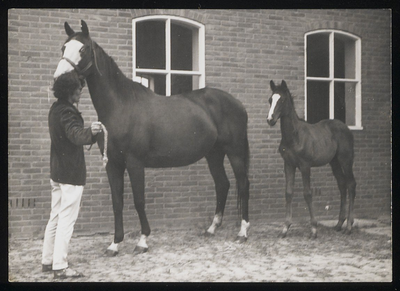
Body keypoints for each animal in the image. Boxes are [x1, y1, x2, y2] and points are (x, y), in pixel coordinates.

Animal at [53, 20, 250, 256]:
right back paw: (212, 228)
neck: (121, 106)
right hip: (214, 154)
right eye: (63, 48)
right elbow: (117, 202)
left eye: (83, 49)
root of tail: (238, 104)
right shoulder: (113, 164)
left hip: (235, 152)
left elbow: (139, 200)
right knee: (222, 184)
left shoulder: (135, 163)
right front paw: (114, 244)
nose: (59, 80)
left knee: (243, 184)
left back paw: (243, 232)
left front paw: (142, 241)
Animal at [268, 80, 354, 240]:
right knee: (342, 184)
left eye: (282, 100)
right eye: (270, 100)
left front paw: (313, 229)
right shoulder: (288, 165)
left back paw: (349, 226)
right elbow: (288, 192)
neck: (294, 136)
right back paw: (339, 224)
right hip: (334, 162)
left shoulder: (305, 166)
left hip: (346, 161)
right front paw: (285, 228)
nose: (270, 120)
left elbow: (307, 193)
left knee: (351, 184)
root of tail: (346, 128)